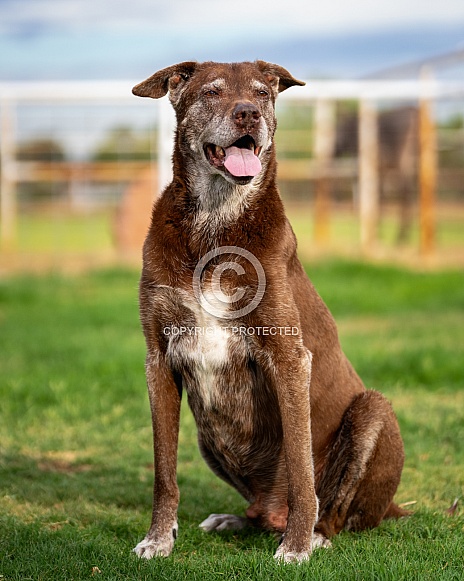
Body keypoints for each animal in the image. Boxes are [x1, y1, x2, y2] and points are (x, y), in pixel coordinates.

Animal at [131, 60, 406, 560]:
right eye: (212, 91)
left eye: (262, 93)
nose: (248, 114)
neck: (216, 222)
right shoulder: (159, 357)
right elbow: (164, 471)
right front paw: (158, 539)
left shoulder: (289, 358)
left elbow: (300, 468)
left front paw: (295, 547)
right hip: (208, 435)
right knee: (259, 514)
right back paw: (236, 519)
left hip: (373, 409)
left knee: (336, 513)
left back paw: (313, 534)